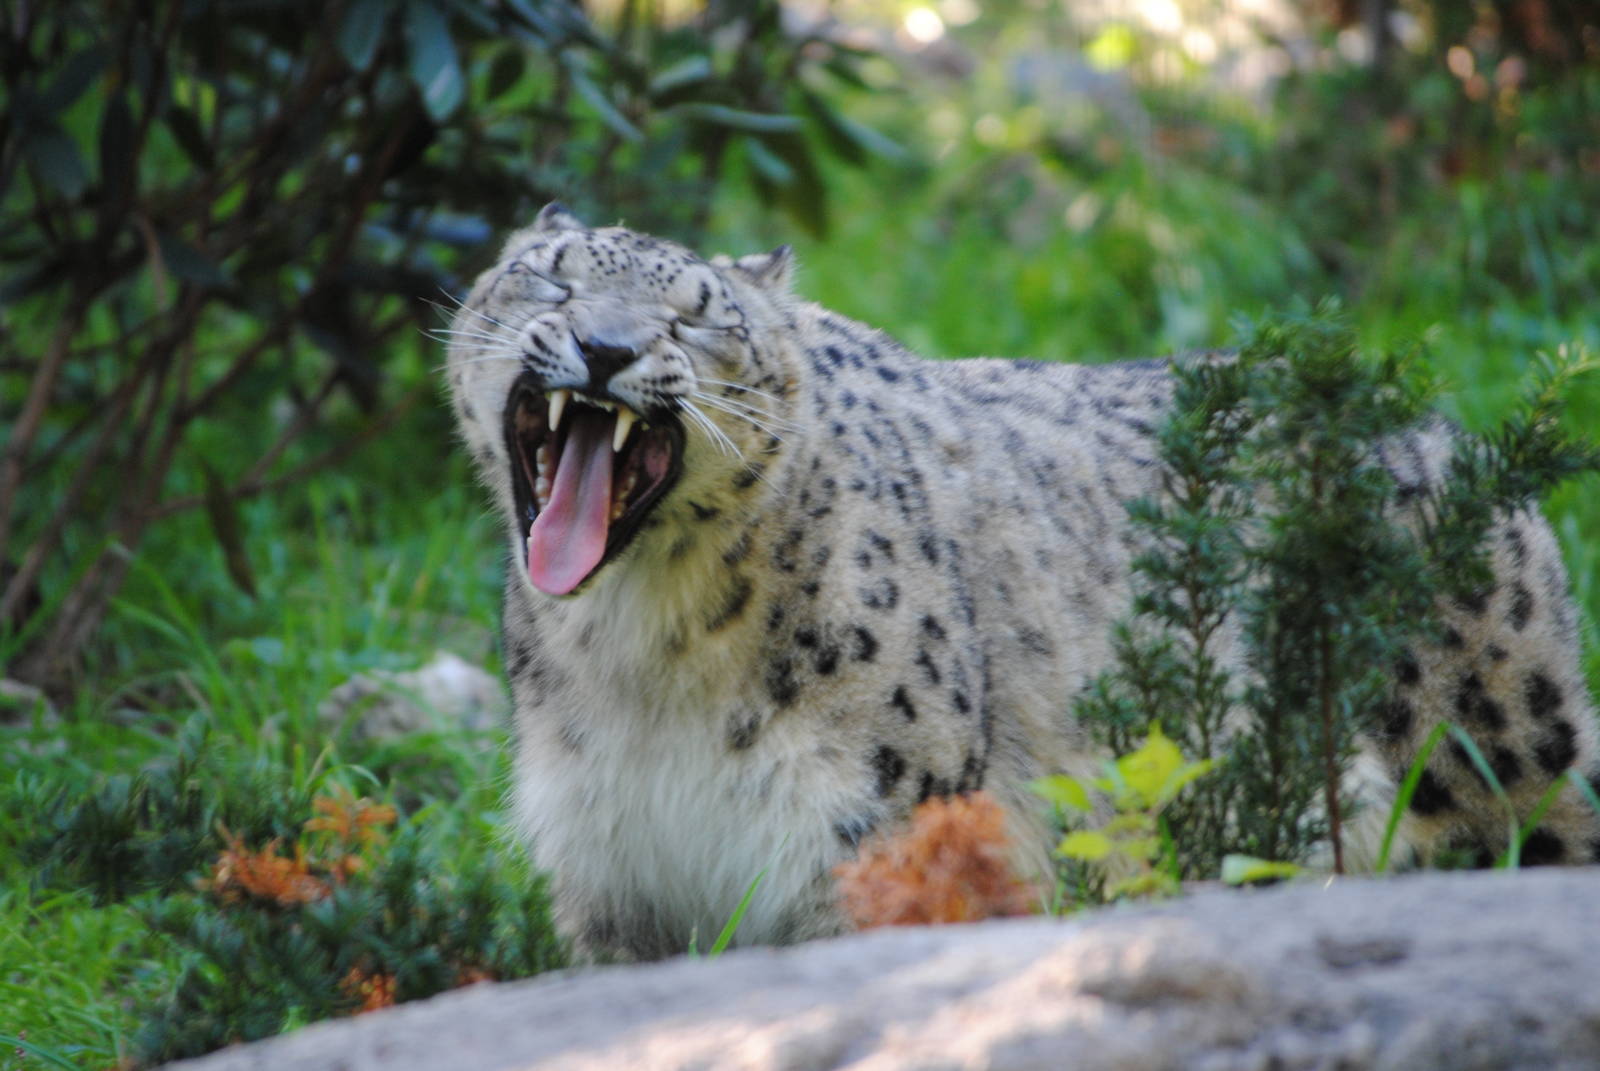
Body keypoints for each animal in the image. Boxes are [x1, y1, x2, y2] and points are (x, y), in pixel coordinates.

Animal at [444, 203, 1600, 961]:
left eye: (693, 317)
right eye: (552, 277)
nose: (605, 344)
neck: (640, 655)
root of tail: (1452, 432)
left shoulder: (871, 835)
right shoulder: (616, 877)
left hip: (1498, 759)